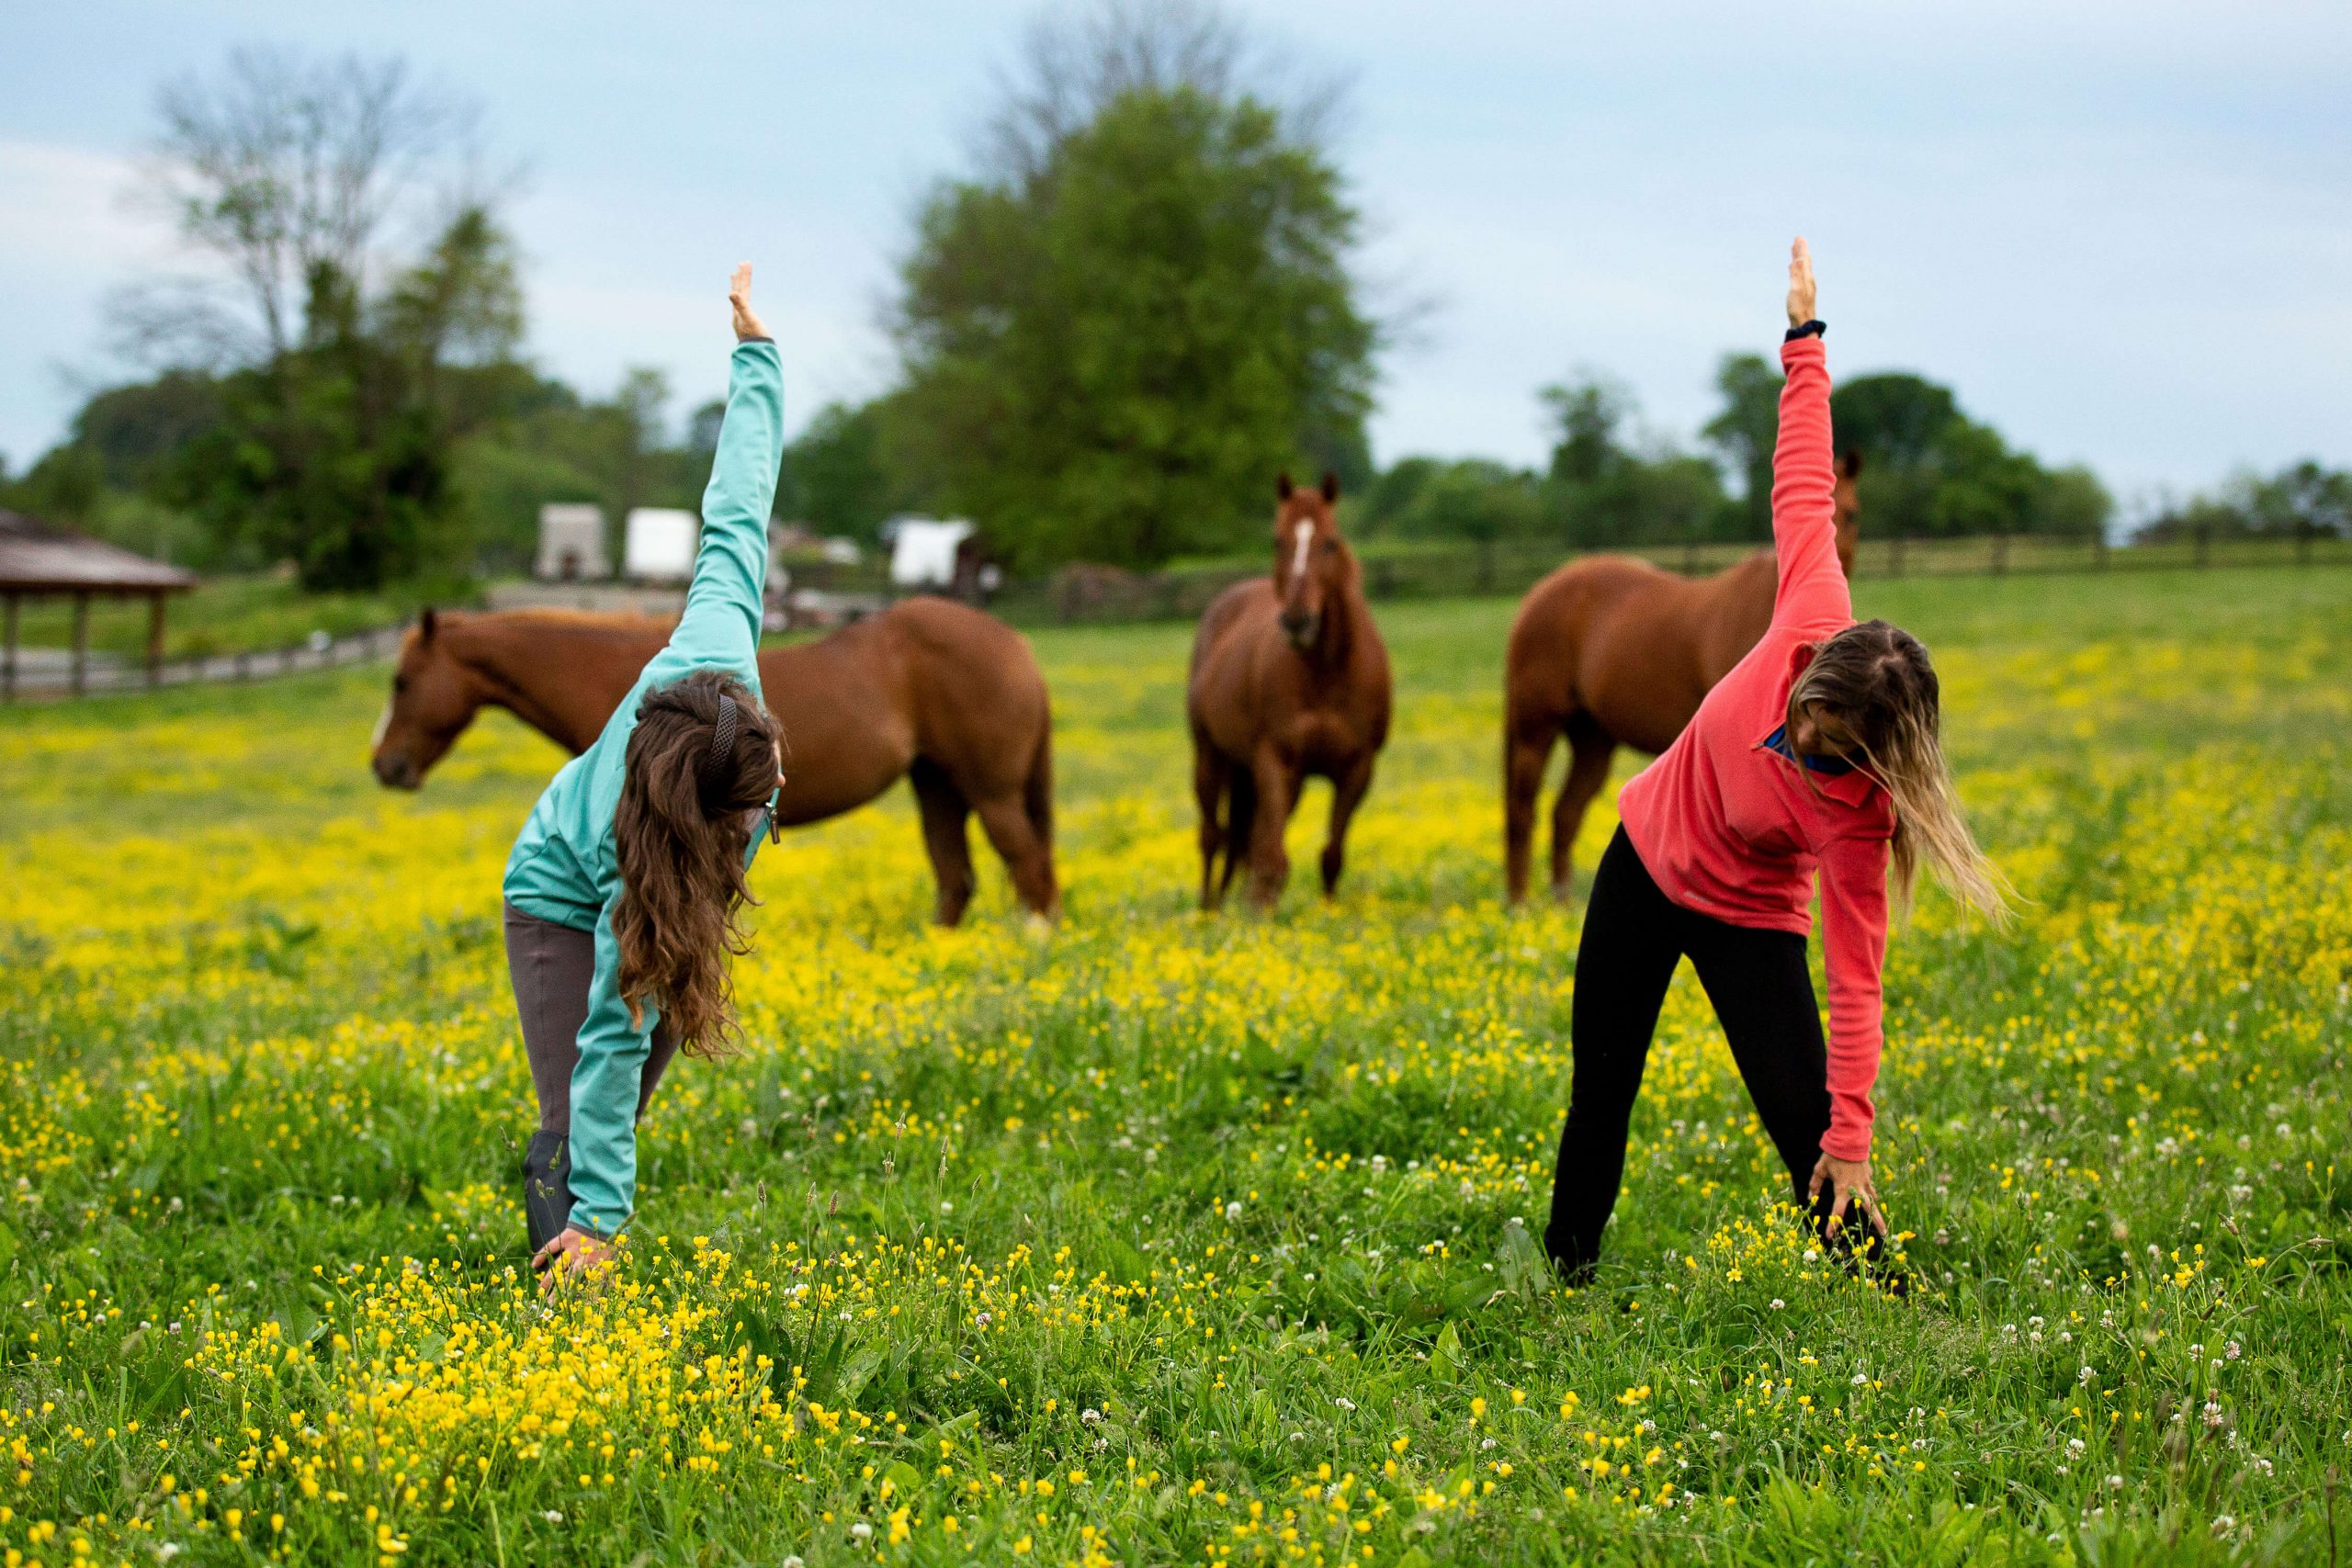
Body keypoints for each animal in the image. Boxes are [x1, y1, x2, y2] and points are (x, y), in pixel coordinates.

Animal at [368, 594, 1058, 926]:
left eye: (401, 681)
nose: (385, 766)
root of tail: (1016, 645)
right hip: (937, 786)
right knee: (956, 881)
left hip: (990, 792)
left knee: (1030, 872)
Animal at [1185, 472, 1383, 911]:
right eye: (1278, 540)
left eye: (1330, 542)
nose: (1296, 620)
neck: (1325, 672)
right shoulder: (1275, 760)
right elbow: (1272, 858)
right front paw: (1262, 915)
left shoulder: (1357, 770)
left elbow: (1330, 856)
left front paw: (1327, 912)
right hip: (1210, 756)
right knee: (1213, 836)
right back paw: (1210, 910)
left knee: (1242, 839)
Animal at [1505, 451, 1871, 907]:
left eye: (1853, 513)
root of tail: (1541, 592)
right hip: (1536, 728)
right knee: (1524, 810)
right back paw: (1521, 904)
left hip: (1593, 738)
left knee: (1565, 813)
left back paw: (1562, 902)